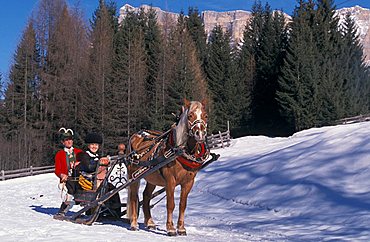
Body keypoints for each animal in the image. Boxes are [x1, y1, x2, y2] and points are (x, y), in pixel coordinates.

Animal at [126, 99, 208, 236]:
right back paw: (134, 224)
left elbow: (182, 205)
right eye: (190, 115)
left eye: (205, 116)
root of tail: (136, 135)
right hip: (133, 177)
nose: (200, 134)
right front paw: (170, 228)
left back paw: (150, 222)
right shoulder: (170, 181)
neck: (180, 151)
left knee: (146, 196)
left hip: (152, 178)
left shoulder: (188, 182)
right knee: (133, 198)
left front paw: (181, 228)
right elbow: (171, 204)